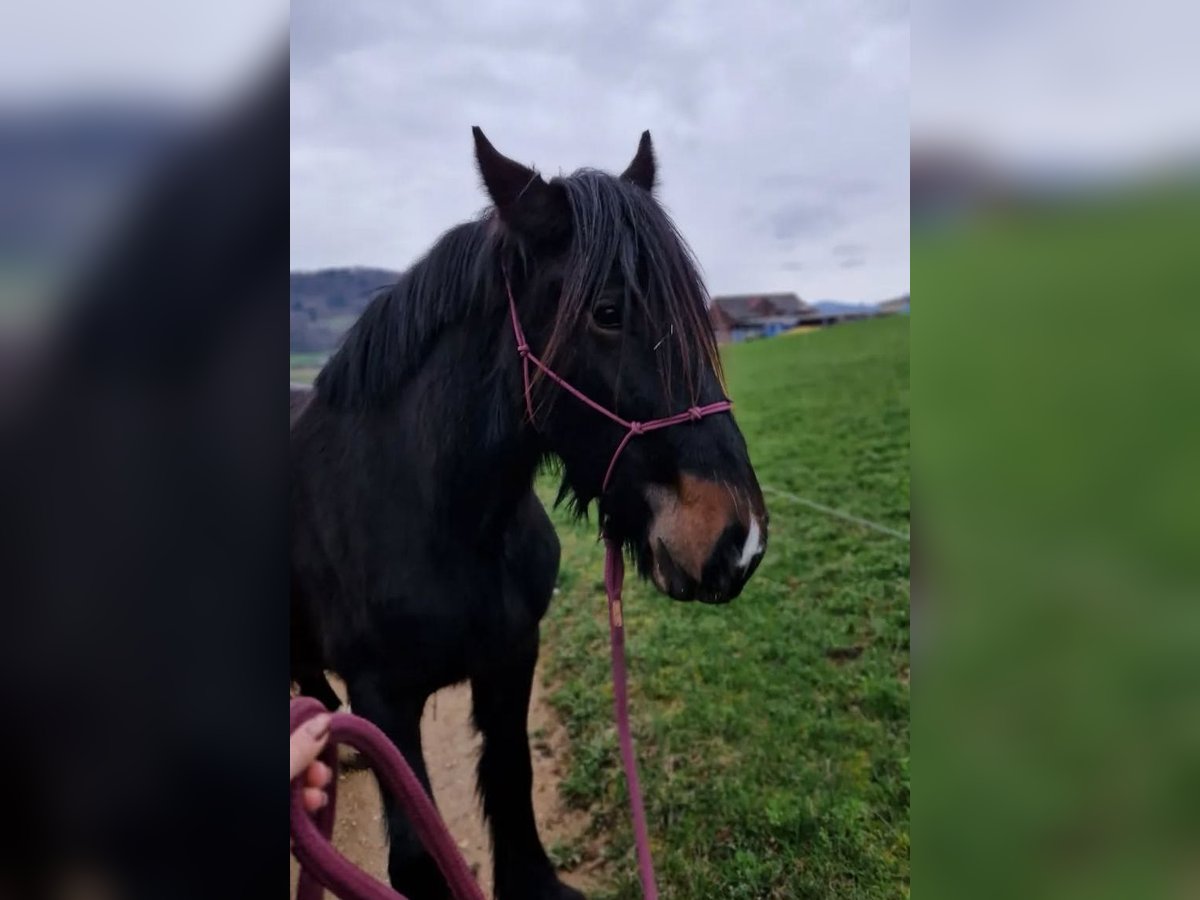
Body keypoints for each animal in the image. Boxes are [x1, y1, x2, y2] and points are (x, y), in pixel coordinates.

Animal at [288, 128, 768, 900]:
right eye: (607, 312)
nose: (738, 540)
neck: (449, 521)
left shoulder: (513, 656)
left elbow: (512, 782)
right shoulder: (384, 699)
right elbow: (416, 856)